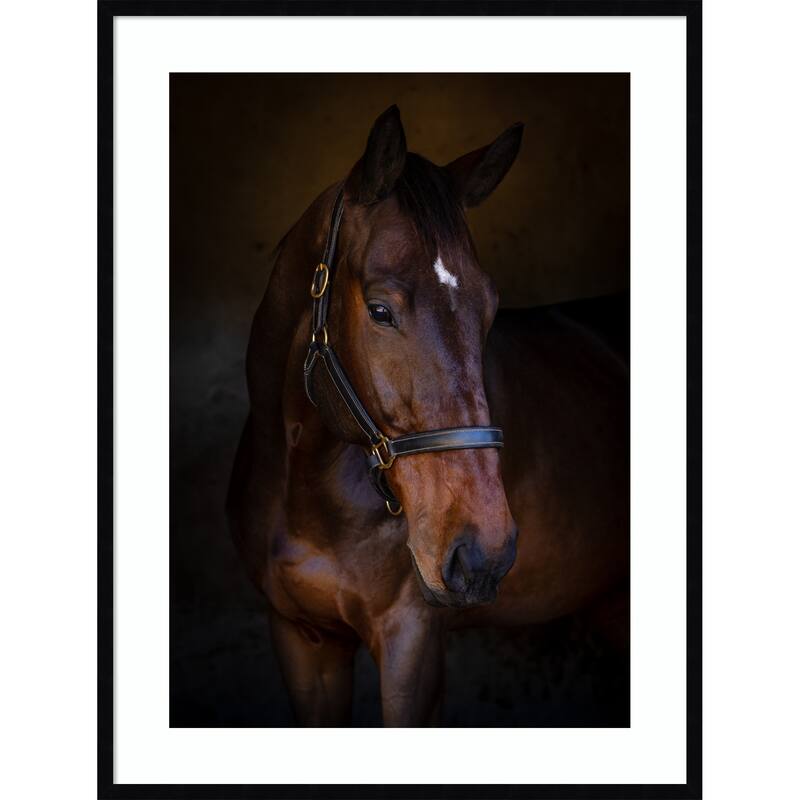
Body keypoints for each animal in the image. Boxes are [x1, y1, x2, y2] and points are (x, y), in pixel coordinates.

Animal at [227, 105, 629, 726]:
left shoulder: (412, 646)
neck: (305, 489)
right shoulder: (303, 642)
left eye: (490, 309)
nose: (483, 554)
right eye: (380, 310)